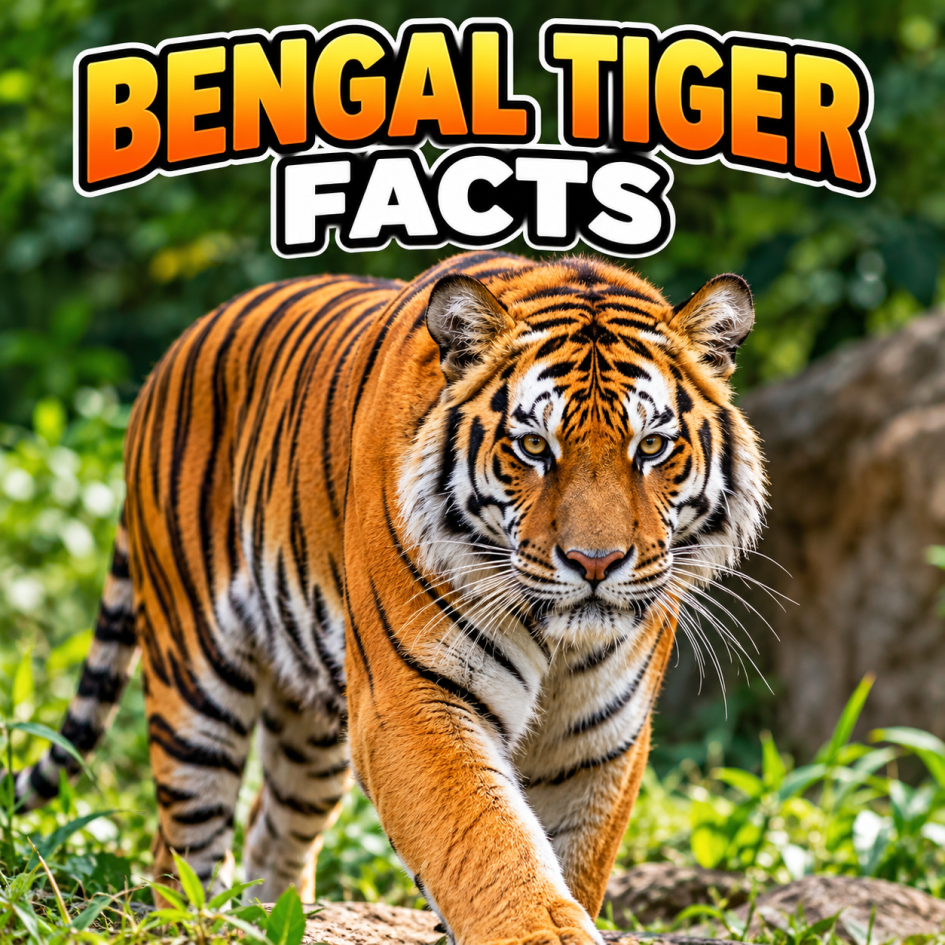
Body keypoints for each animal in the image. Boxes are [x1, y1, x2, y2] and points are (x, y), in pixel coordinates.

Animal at [15, 251, 765, 944]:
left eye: (652, 446)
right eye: (532, 446)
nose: (595, 562)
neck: (557, 637)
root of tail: (171, 354)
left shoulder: (597, 736)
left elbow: (570, 857)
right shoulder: (411, 698)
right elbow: (487, 841)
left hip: (310, 728)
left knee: (273, 829)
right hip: (194, 682)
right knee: (180, 849)